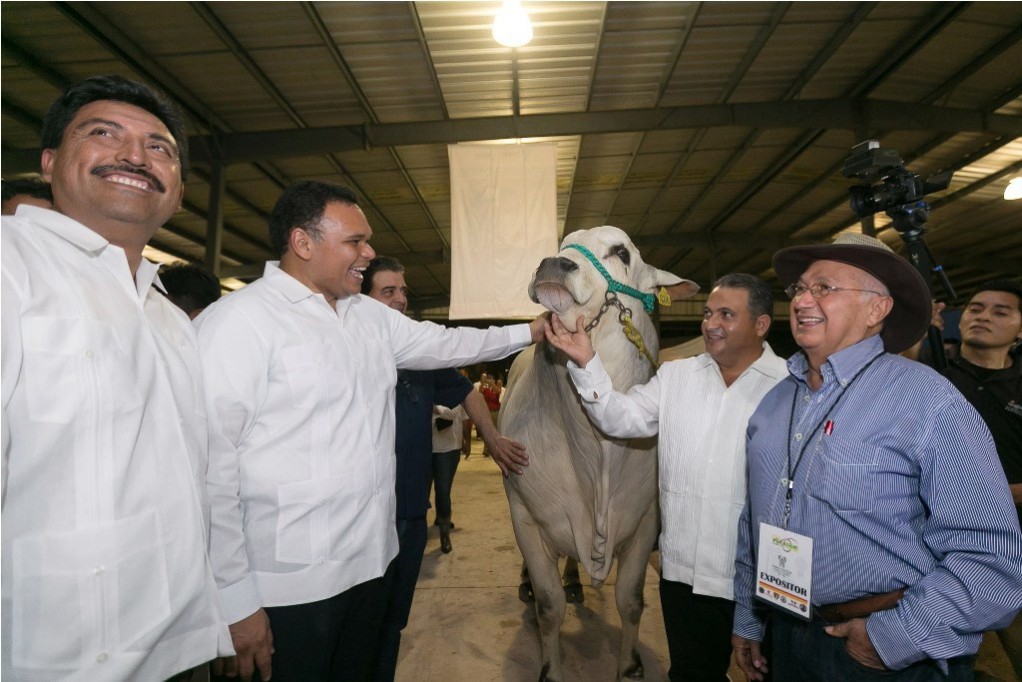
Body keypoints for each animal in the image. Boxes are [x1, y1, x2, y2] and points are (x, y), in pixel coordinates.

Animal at [498, 228, 699, 682]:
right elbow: (549, 605)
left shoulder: (646, 519)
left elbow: (630, 600)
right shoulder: (525, 512)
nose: (553, 264)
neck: (598, 455)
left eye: (622, 253)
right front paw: (550, 670)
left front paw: (630, 666)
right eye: (562, 244)